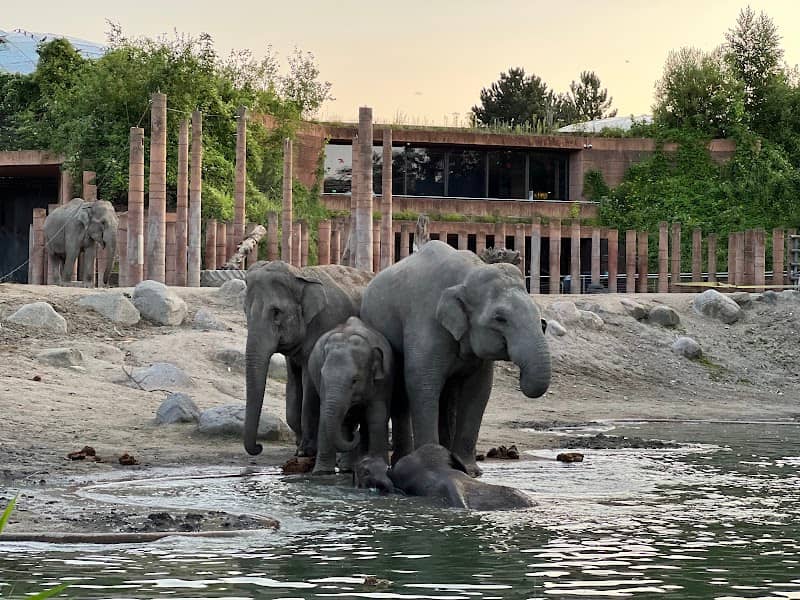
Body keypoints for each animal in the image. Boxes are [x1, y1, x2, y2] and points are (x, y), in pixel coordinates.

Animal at [243, 261, 373, 458]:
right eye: (245, 311)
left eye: (276, 312)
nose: (259, 447)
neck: (300, 275)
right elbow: (293, 385)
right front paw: (298, 447)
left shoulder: (324, 325)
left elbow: (309, 385)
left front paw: (306, 451)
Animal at [307, 316, 394, 475]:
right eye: (323, 376)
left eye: (354, 380)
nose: (355, 435)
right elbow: (324, 416)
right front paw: (321, 473)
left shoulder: (383, 382)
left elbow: (377, 415)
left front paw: (382, 467)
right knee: (346, 421)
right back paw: (347, 468)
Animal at [360, 240, 551, 476]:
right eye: (500, 318)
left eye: (537, 311)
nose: (521, 375)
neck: (468, 273)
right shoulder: (426, 321)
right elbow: (422, 382)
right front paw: (432, 463)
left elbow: (479, 390)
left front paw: (470, 470)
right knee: (403, 393)